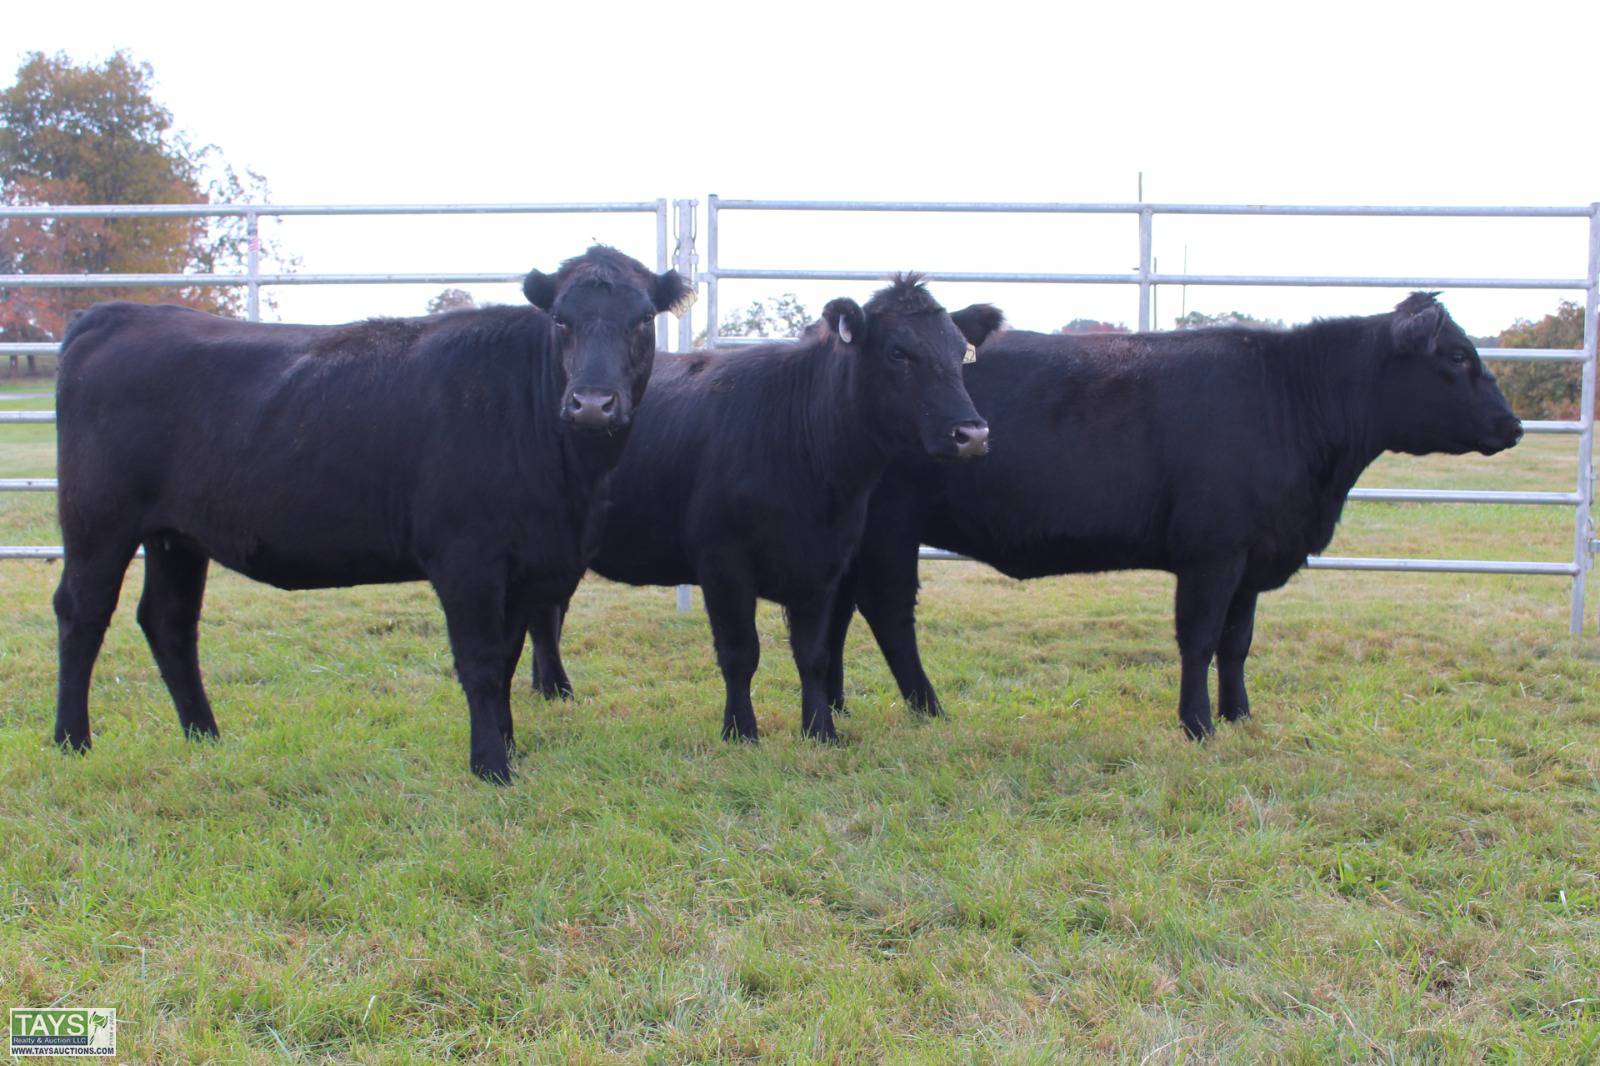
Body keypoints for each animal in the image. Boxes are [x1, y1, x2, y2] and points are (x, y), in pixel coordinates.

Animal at [52, 245, 690, 783]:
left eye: (642, 320)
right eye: (561, 320)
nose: (592, 403)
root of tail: (115, 314)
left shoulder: (528, 562)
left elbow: (509, 657)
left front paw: (508, 746)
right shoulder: (467, 558)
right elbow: (482, 661)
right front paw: (491, 765)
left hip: (175, 536)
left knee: (169, 622)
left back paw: (204, 736)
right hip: (97, 522)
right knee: (82, 613)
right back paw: (71, 741)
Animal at [526, 276, 1002, 743]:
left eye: (960, 353)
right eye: (898, 352)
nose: (973, 434)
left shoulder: (826, 563)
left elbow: (814, 654)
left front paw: (820, 731)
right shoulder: (723, 560)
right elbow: (740, 652)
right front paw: (740, 731)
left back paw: (551, 691)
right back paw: (556, 690)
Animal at [824, 292, 1523, 740]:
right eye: (1457, 356)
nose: (1513, 425)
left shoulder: (1253, 555)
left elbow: (1238, 642)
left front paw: (1240, 717)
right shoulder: (1213, 551)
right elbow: (1201, 637)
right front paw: (1198, 725)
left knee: (838, 610)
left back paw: (835, 707)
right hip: (889, 528)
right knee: (888, 613)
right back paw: (927, 709)